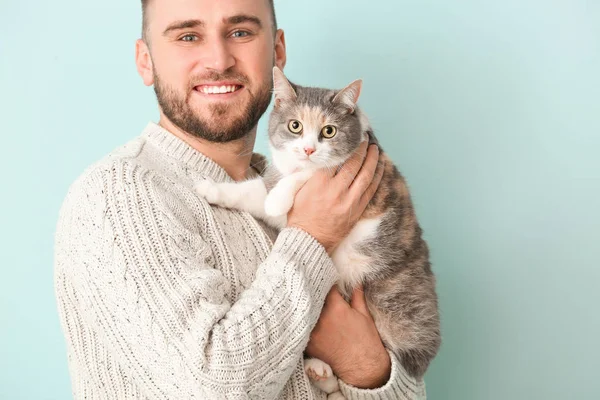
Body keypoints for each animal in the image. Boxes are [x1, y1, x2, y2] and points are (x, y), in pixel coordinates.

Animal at [196, 67, 440, 398]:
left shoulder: (363, 174)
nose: (309, 149)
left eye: (329, 131)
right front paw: (210, 189)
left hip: (394, 307)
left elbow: (311, 174)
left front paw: (280, 196)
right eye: (295, 126)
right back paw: (319, 370)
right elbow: (252, 193)